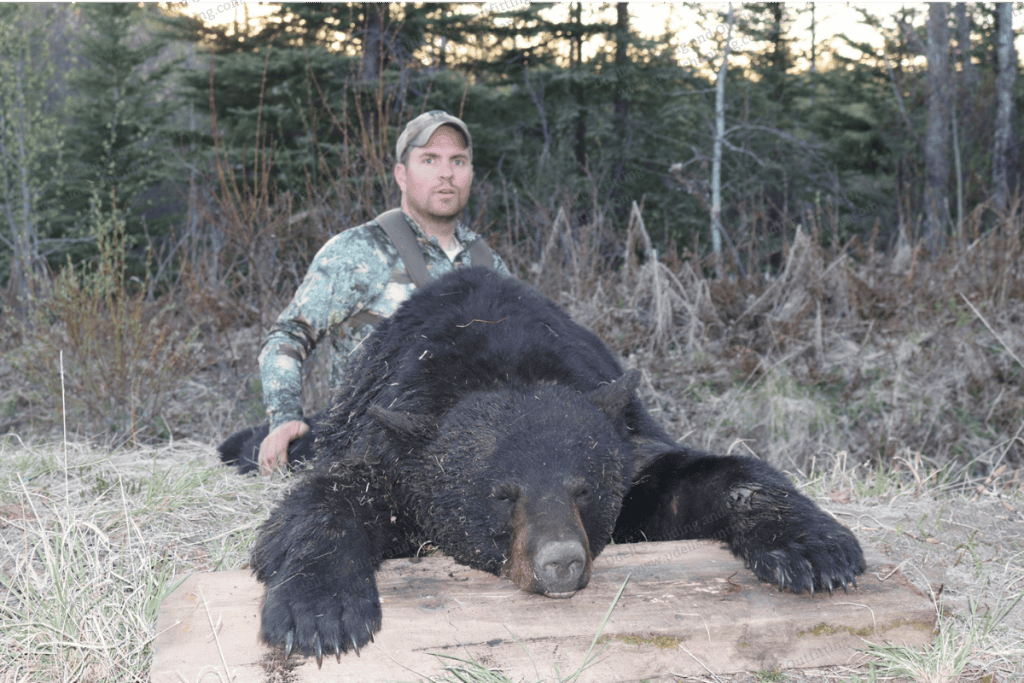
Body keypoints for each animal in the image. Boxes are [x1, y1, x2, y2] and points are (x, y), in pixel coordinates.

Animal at [219, 267, 864, 667]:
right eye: (503, 493)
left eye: (584, 489)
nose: (561, 562)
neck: (503, 362)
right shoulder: (393, 451)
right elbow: (324, 504)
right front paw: (319, 613)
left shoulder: (631, 452)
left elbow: (709, 478)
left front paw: (816, 550)